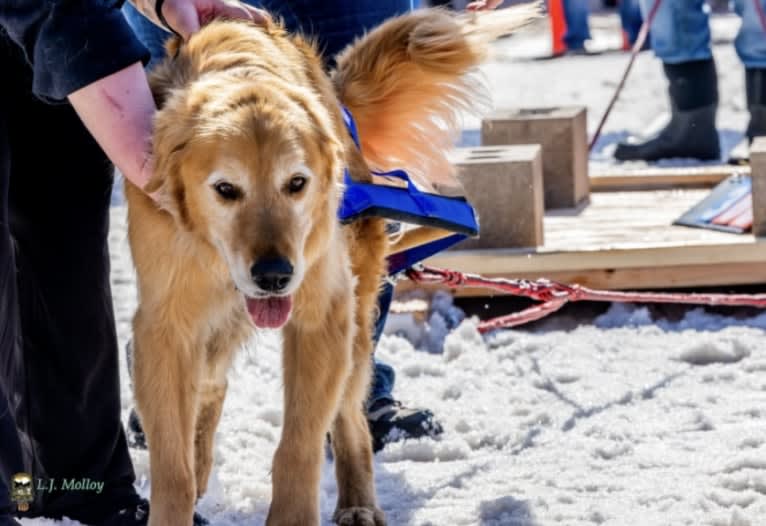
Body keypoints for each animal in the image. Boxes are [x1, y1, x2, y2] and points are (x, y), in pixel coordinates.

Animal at [123, 5, 536, 526]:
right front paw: (181, 489)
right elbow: (172, 467)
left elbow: (298, 448)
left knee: (350, 416)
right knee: (213, 384)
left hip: (353, 320)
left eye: (296, 183)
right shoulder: (167, 327)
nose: (274, 274)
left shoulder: (321, 314)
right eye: (225, 189)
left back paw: (357, 500)